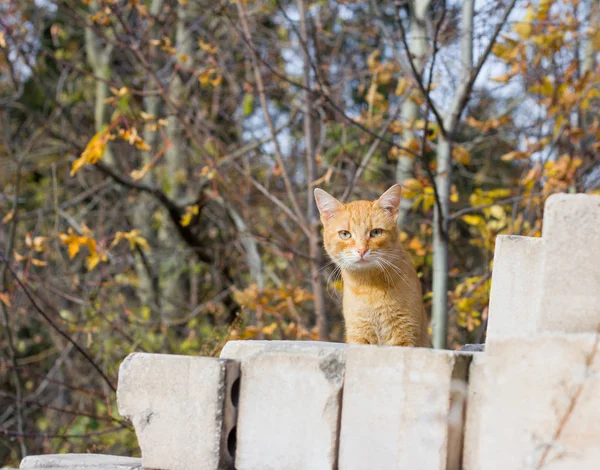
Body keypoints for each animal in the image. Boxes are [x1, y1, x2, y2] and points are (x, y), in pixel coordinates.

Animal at [312, 185, 428, 346]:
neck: (370, 288)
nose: (361, 250)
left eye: (376, 232)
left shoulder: (405, 334)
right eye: (345, 234)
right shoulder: (358, 333)